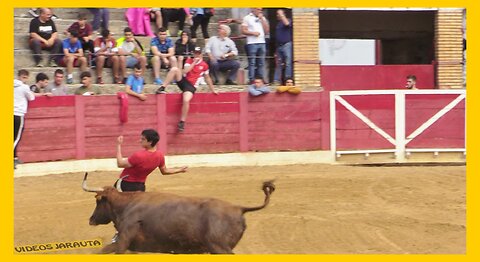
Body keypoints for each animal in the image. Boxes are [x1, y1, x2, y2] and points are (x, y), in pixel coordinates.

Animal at [83, 172, 276, 254]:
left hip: (219, 248)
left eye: (97, 200)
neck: (128, 204)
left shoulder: (123, 241)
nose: (90, 219)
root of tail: (238, 208)